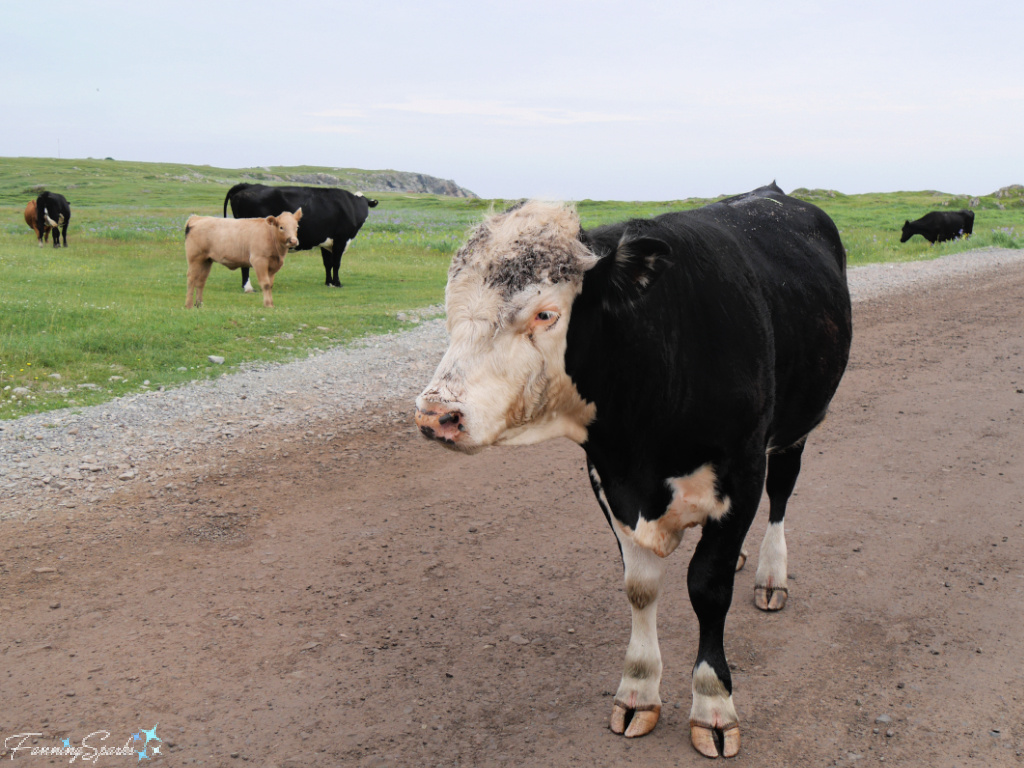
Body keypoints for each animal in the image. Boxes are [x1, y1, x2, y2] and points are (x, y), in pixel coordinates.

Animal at [224, 183, 380, 290]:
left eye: (365, 205)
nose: (363, 214)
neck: (351, 206)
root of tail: (247, 186)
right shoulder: (340, 240)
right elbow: (336, 263)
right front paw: (337, 283)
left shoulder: (326, 242)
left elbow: (327, 263)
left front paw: (328, 282)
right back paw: (248, 287)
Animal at [411, 183, 851, 761]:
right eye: (450, 309)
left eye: (546, 315)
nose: (435, 414)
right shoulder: (609, 479)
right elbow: (640, 587)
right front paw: (638, 690)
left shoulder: (742, 472)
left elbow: (708, 588)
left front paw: (713, 704)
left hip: (796, 429)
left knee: (781, 496)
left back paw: (771, 575)